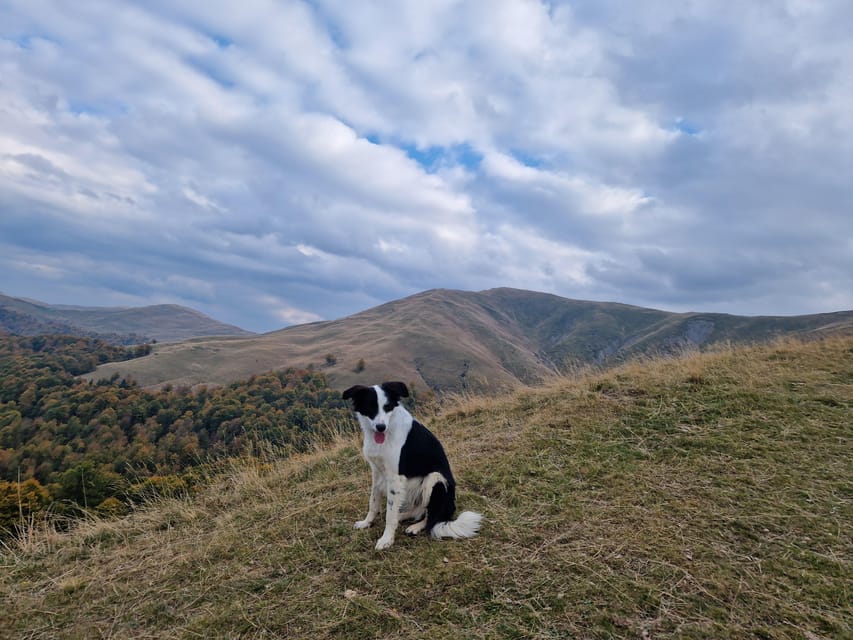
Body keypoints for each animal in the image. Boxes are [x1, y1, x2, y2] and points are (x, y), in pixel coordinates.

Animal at [342, 380, 482, 552]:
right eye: (370, 407)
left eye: (388, 407)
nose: (381, 427)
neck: (387, 432)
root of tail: (451, 506)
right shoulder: (377, 472)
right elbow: (373, 501)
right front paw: (366, 523)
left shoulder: (395, 477)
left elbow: (389, 515)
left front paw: (387, 539)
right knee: (416, 510)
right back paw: (402, 517)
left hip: (434, 479)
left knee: (431, 517)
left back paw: (416, 527)